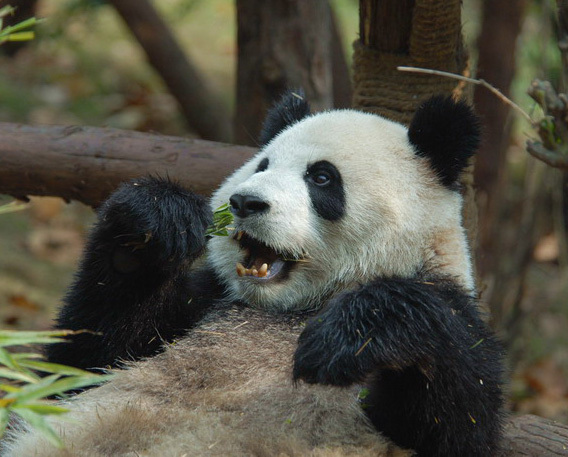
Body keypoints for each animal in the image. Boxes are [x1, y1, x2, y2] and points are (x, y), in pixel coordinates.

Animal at [2, 92, 504, 456]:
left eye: (322, 178)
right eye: (262, 165)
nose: (245, 202)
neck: (292, 308)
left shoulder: (453, 314)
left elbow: (455, 425)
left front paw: (347, 336)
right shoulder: (208, 300)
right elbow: (79, 366)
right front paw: (155, 222)